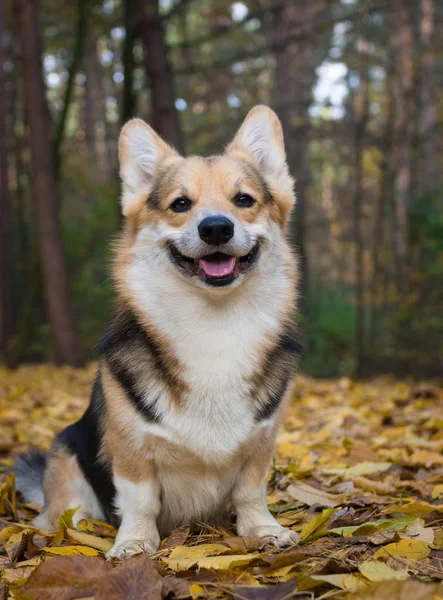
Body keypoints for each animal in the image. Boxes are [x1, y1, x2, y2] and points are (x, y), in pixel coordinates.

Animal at [17, 104, 302, 556]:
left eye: (244, 200)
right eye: (180, 204)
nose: (216, 227)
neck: (213, 322)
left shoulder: (261, 443)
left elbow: (250, 491)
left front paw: (263, 530)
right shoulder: (130, 449)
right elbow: (141, 500)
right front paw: (134, 543)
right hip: (67, 460)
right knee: (67, 513)